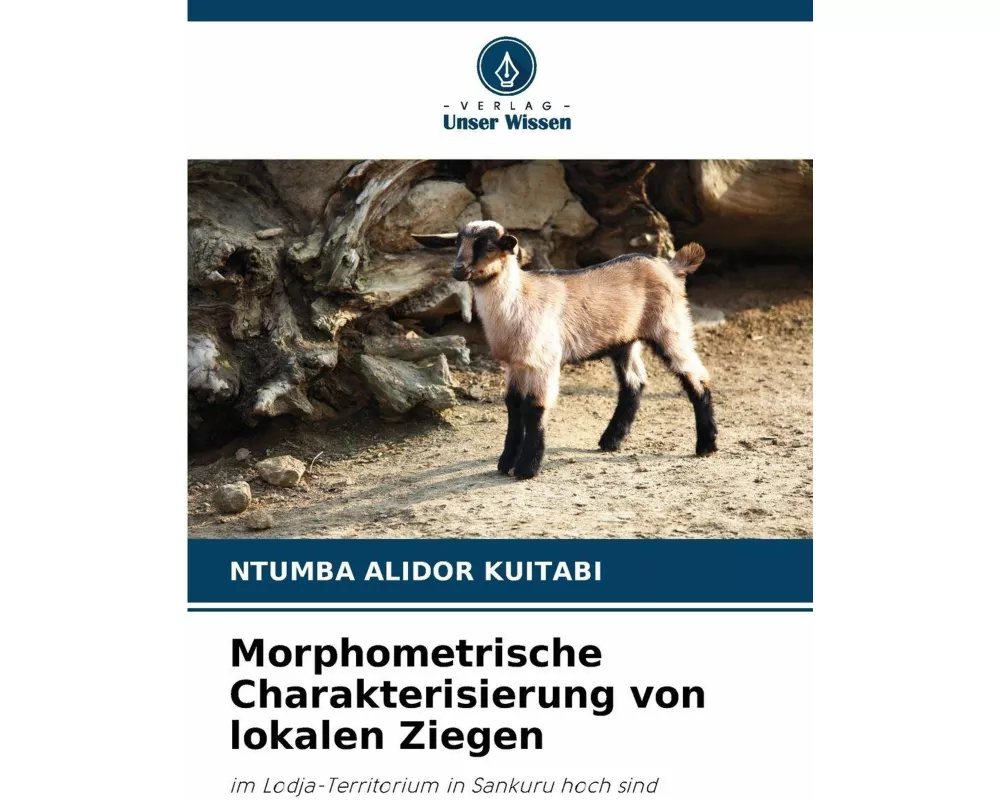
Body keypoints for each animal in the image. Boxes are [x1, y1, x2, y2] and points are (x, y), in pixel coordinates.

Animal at [413, 220, 717, 479]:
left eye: (488, 246)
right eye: (456, 244)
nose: (458, 269)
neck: (518, 299)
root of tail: (671, 266)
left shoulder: (544, 361)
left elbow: (534, 408)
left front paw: (527, 468)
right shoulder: (515, 363)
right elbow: (513, 407)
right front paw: (506, 462)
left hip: (670, 325)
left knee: (696, 376)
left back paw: (707, 445)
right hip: (624, 341)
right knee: (634, 383)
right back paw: (610, 440)